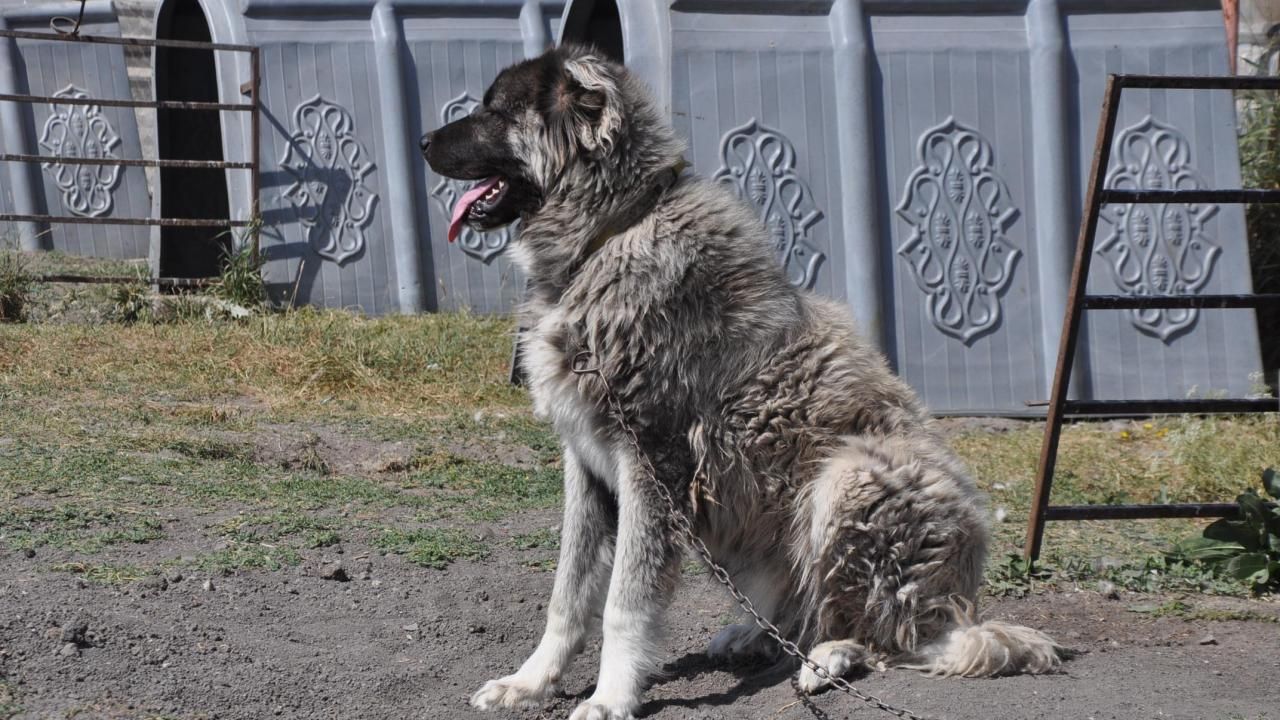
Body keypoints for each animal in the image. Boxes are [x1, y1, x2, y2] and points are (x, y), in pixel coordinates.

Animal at [419, 43, 1059, 717]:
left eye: (497, 110)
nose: (422, 140)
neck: (609, 235)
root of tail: (957, 608)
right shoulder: (589, 467)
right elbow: (568, 595)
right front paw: (531, 681)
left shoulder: (652, 464)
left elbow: (625, 601)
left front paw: (612, 696)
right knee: (811, 609)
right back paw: (758, 634)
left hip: (847, 478)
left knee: (886, 634)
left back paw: (830, 657)